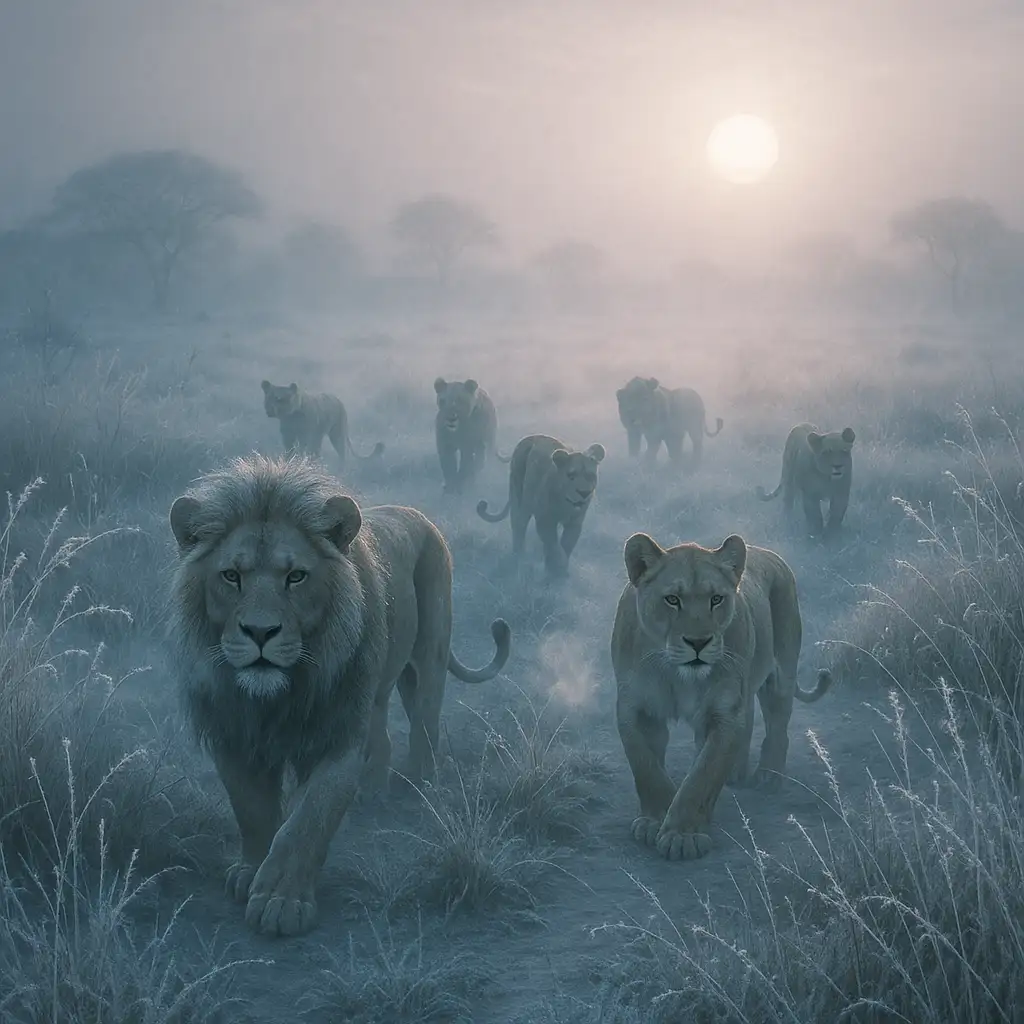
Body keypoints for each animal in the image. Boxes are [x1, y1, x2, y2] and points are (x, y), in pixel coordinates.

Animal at [168, 455, 512, 937]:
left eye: (296, 576)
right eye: (231, 576)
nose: (260, 632)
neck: (277, 697)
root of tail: (417, 514)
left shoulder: (337, 734)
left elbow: (308, 820)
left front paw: (281, 901)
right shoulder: (232, 736)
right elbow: (251, 810)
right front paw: (250, 871)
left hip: (427, 661)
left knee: (425, 725)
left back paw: (419, 784)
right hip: (381, 685)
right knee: (382, 735)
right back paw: (373, 788)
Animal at [477, 433, 605, 577]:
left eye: (591, 476)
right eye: (571, 475)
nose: (584, 493)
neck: (565, 503)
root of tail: (532, 437)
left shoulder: (575, 523)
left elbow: (566, 545)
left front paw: (555, 571)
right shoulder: (545, 521)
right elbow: (554, 546)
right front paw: (559, 566)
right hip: (519, 496)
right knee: (518, 524)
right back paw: (519, 556)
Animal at [611, 531, 831, 861]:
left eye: (716, 599)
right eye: (672, 599)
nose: (698, 642)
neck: (677, 674)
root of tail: (767, 553)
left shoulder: (723, 715)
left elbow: (702, 775)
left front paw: (683, 835)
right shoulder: (636, 710)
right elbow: (646, 767)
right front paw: (654, 820)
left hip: (780, 675)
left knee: (777, 727)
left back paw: (768, 777)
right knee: (749, 720)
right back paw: (737, 773)